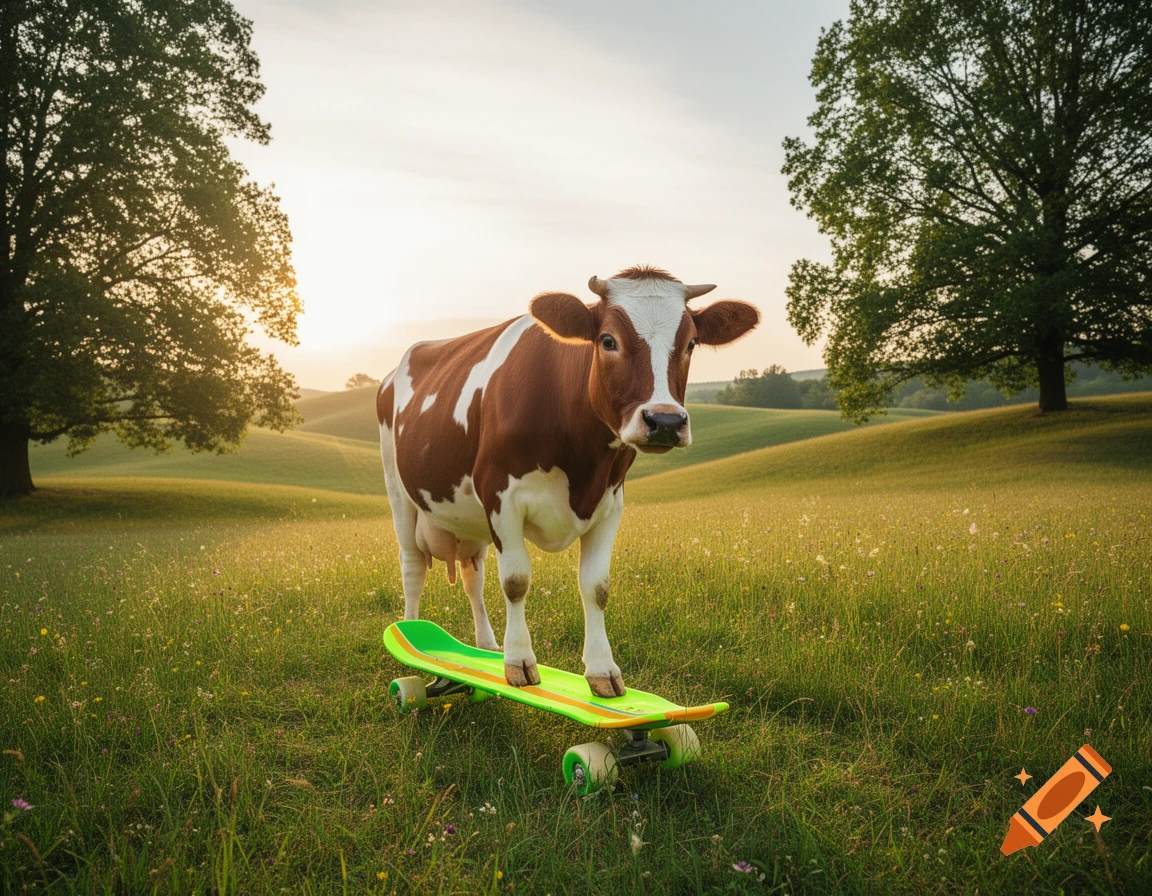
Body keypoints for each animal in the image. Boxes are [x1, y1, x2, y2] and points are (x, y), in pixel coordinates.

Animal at [377, 265, 758, 697]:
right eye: (608, 340)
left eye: (692, 342)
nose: (664, 421)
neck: (581, 463)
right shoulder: (499, 495)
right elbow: (516, 580)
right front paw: (519, 663)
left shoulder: (610, 502)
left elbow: (596, 586)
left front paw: (601, 671)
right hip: (399, 493)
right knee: (413, 567)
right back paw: (413, 640)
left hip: (467, 518)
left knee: (474, 574)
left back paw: (486, 648)